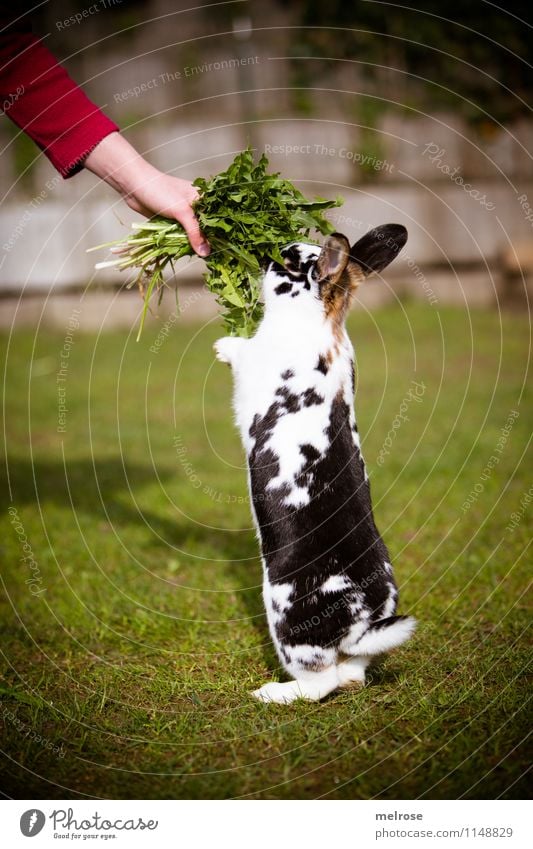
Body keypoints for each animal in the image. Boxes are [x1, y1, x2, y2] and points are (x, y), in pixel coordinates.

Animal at [214, 220, 414, 704]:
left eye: (289, 262)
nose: (267, 254)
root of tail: (361, 621)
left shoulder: (257, 360)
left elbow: (241, 352)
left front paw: (222, 346)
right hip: (356, 649)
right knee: (352, 674)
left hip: (289, 628)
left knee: (320, 684)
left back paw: (270, 693)